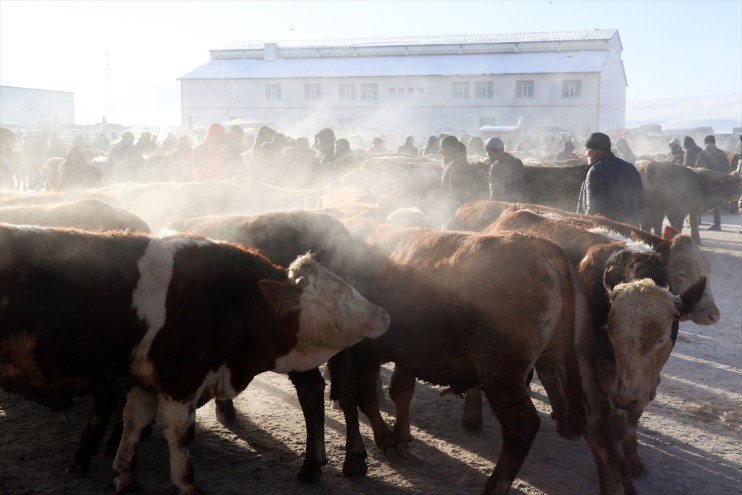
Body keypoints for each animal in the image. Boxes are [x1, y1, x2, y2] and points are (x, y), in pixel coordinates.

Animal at [0, 225, 392, 495]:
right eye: (340, 298)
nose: (384, 314)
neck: (231, 298)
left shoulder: (148, 381)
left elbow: (134, 425)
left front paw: (125, 477)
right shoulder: (181, 379)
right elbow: (180, 434)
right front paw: (186, 484)